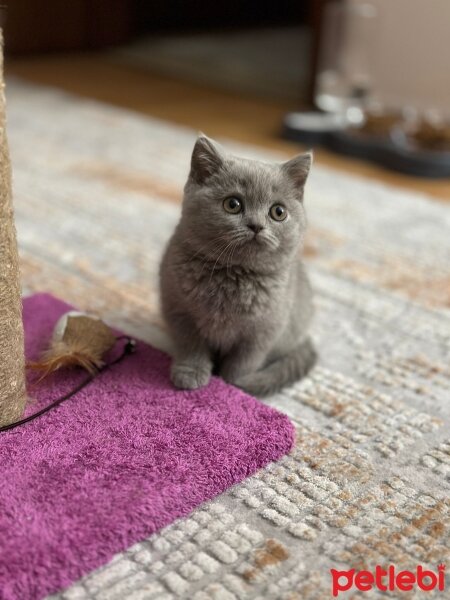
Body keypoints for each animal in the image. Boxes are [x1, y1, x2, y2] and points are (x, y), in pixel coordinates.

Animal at [160, 137, 314, 398]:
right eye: (233, 204)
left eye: (278, 212)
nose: (256, 225)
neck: (233, 275)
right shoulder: (180, 313)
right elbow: (191, 347)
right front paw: (190, 374)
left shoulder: (263, 332)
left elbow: (244, 361)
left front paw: (233, 383)